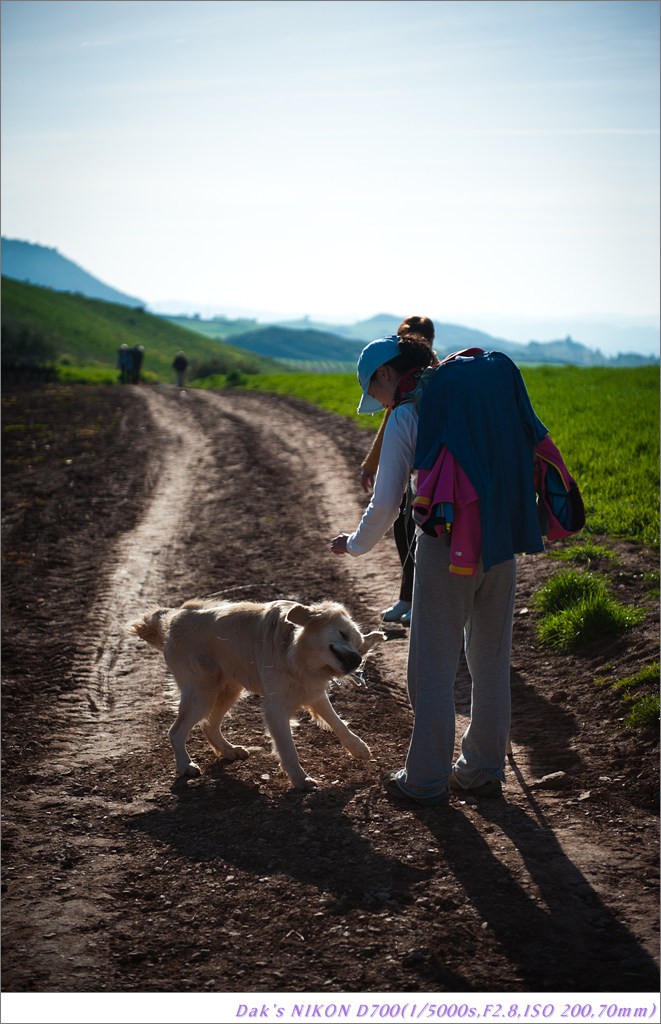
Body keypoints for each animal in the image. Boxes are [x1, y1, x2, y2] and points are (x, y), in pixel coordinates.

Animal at [126, 598, 386, 790]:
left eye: (358, 643)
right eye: (343, 634)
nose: (358, 660)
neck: (296, 652)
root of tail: (173, 617)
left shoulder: (312, 692)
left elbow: (338, 722)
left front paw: (358, 748)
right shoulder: (275, 706)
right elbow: (287, 748)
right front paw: (300, 779)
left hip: (228, 689)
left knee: (208, 725)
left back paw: (229, 751)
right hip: (202, 692)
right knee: (176, 731)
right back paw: (185, 765)